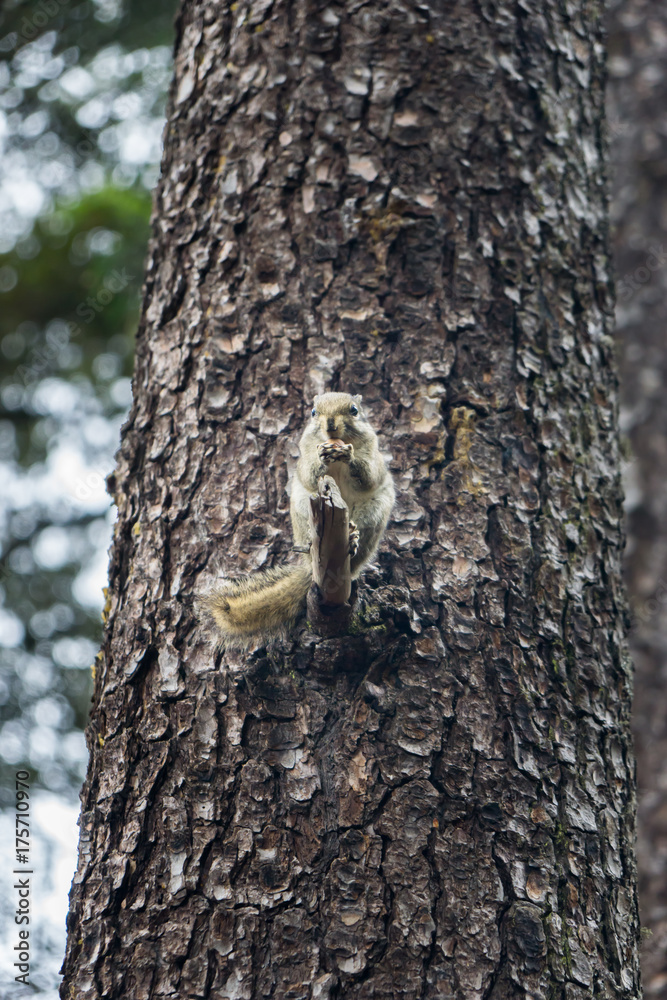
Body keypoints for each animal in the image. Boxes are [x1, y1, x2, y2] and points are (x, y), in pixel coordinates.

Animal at [202, 392, 395, 647]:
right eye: (313, 412)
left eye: (354, 410)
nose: (330, 424)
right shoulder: (305, 456)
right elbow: (309, 474)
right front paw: (323, 457)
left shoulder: (374, 455)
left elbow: (370, 476)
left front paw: (348, 454)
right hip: (303, 507)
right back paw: (314, 542)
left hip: (374, 511)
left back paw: (353, 538)